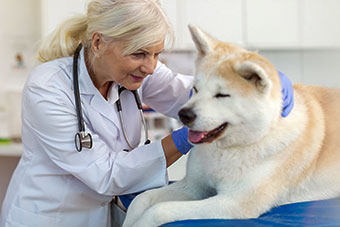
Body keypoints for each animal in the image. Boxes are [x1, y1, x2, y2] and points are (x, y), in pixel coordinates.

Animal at [122, 24, 340, 227]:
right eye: (195, 89)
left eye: (222, 95)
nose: (183, 115)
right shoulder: (193, 187)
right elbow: (142, 199)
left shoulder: (232, 203)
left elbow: (159, 210)